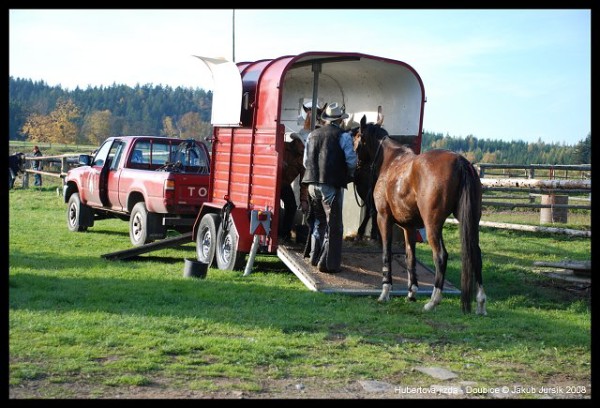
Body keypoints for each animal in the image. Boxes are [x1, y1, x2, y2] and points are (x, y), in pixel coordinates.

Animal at [356, 115, 488, 316]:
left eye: (356, 136)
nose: (356, 165)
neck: (391, 161)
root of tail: (460, 161)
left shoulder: (383, 218)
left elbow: (387, 252)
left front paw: (385, 291)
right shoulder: (408, 227)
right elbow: (410, 257)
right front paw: (411, 293)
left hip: (432, 224)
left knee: (440, 256)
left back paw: (433, 301)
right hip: (472, 221)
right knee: (476, 254)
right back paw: (480, 303)